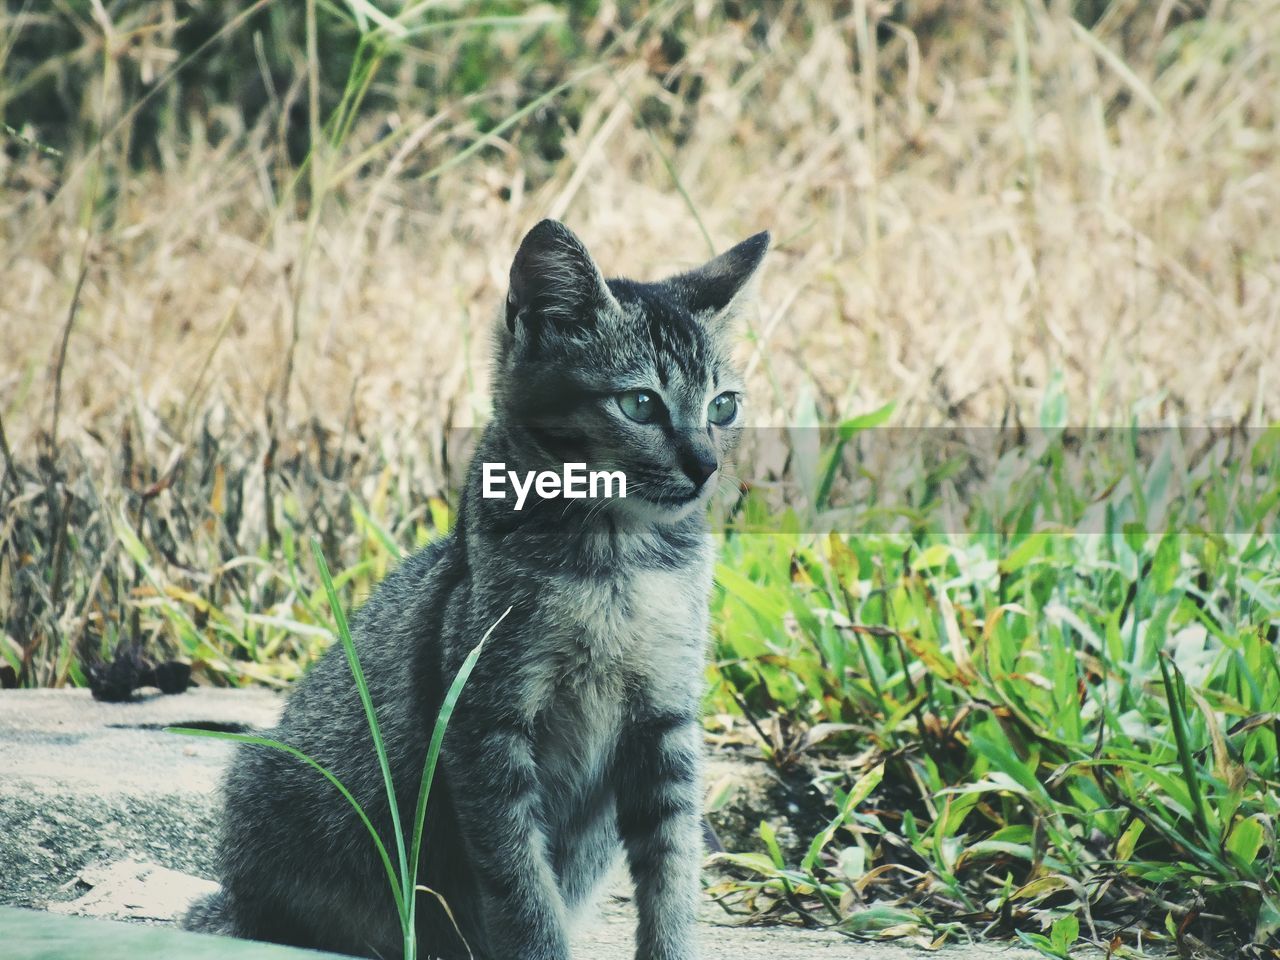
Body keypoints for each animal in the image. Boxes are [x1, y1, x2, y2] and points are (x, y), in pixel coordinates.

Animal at [184, 221, 768, 957]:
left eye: (724, 405)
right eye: (640, 403)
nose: (707, 466)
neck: (618, 563)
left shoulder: (665, 721)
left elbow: (673, 870)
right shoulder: (487, 724)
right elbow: (521, 883)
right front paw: (543, 946)